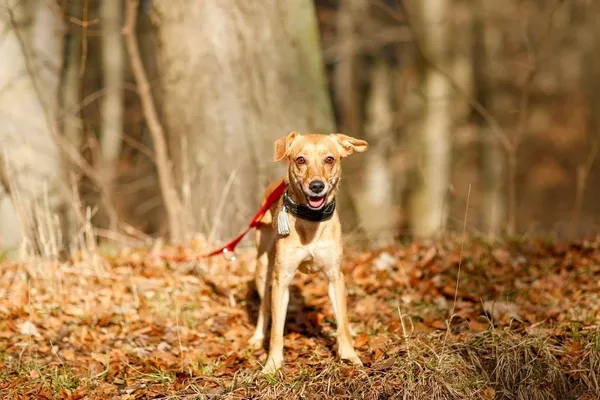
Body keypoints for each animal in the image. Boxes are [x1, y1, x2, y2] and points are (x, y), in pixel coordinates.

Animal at [247, 133, 368, 374]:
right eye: (301, 160)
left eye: (330, 159)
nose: (316, 186)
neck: (310, 221)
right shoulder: (282, 279)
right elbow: (276, 330)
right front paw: (272, 364)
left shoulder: (335, 277)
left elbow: (342, 323)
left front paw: (350, 357)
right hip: (263, 268)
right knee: (264, 307)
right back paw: (257, 337)